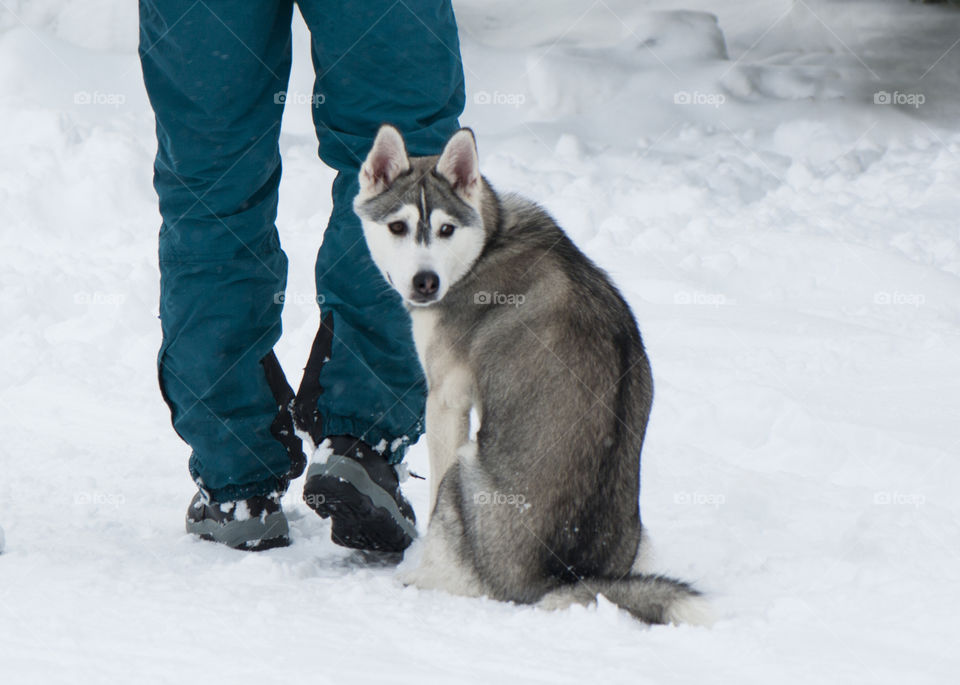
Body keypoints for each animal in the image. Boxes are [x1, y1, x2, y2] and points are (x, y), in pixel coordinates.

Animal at [352, 125, 704, 624]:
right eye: (397, 227)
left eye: (445, 229)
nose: (426, 282)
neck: (488, 241)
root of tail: (560, 577)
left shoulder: (446, 399)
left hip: (466, 466)